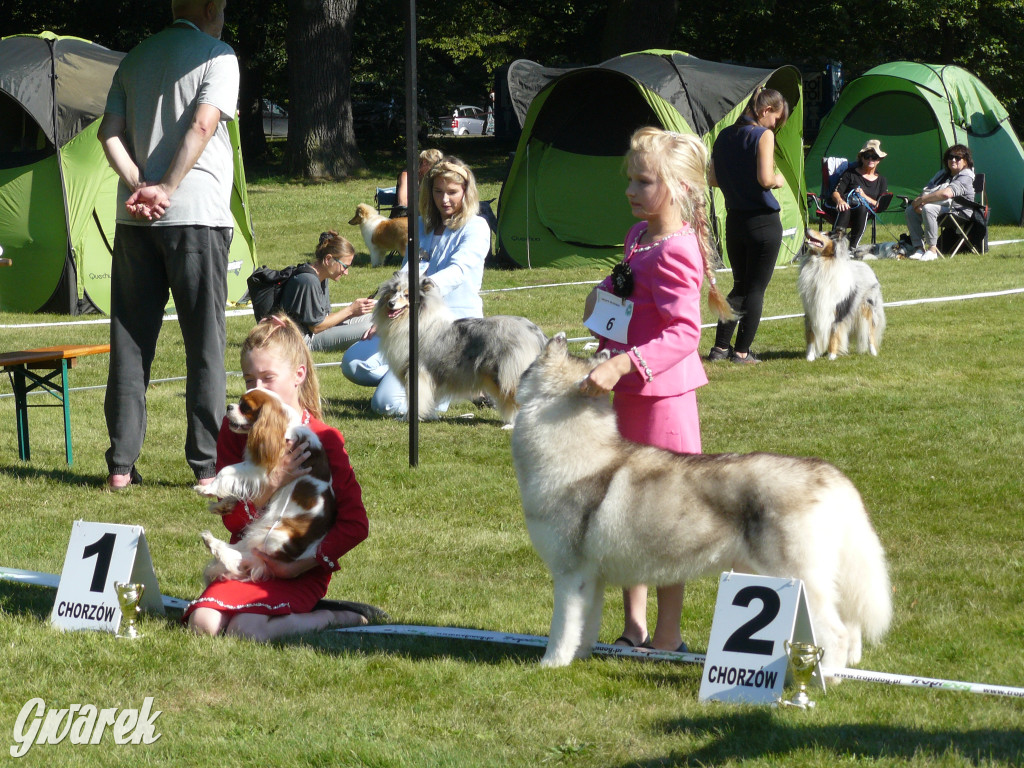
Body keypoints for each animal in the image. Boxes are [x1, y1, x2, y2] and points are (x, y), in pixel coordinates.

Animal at [192, 391, 335, 581]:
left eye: (245, 407)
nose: (229, 407)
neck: (283, 428)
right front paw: (223, 505)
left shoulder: (264, 468)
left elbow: (226, 470)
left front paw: (207, 489)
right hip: (261, 530)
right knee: (242, 549)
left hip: (274, 535)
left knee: (243, 556)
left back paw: (213, 544)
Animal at [372, 274, 548, 430]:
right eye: (393, 292)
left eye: (407, 295)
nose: (391, 304)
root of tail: (534, 331)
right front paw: (429, 415)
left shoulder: (417, 374)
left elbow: (414, 401)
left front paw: (407, 419)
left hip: (507, 375)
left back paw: (511, 426)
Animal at [794, 230, 884, 362]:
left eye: (826, 234)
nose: (807, 230)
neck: (823, 262)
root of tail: (867, 267)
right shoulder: (812, 311)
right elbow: (811, 335)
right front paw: (810, 357)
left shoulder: (836, 312)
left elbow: (834, 334)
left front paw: (831, 356)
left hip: (867, 309)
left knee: (870, 333)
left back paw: (873, 353)